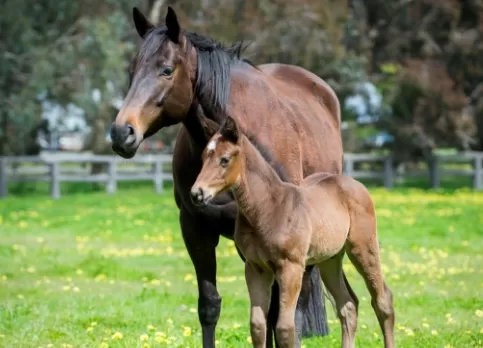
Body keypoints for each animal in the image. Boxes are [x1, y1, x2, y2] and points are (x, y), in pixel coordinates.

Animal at [191, 114, 396, 348]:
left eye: (224, 159)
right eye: (203, 157)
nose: (196, 193)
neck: (269, 209)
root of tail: (353, 182)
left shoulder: (291, 267)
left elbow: (285, 329)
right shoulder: (255, 268)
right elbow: (258, 326)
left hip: (363, 247)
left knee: (382, 300)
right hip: (330, 259)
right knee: (348, 305)